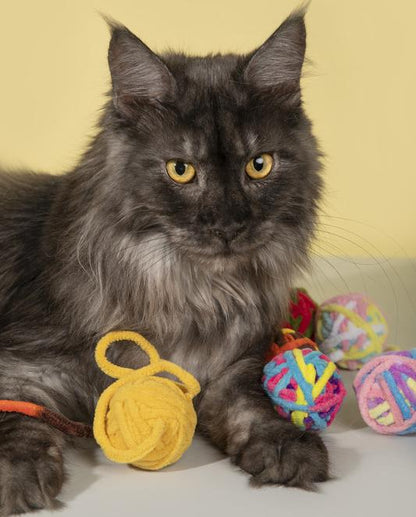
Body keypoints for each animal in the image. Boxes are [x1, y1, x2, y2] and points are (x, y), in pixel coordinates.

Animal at [0, 7, 328, 512]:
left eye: (259, 165)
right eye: (181, 170)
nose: (228, 224)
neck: (193, 293)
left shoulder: (234, 365)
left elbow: (251, 403)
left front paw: (284, 446)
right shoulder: (24, 364)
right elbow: (17, 420)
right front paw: (18, 474)